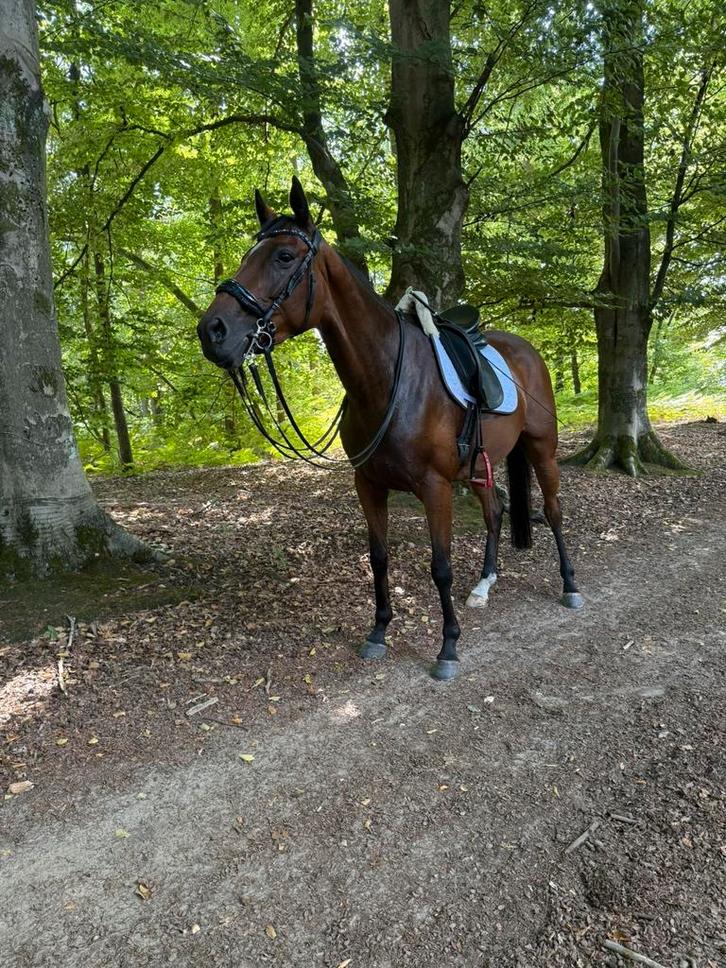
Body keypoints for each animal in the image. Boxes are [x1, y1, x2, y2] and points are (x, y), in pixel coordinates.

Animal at [197, 177, 583, 681]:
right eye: (248, 254)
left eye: (283, 256)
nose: (212, 330)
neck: (386, 382)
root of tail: (525, 350)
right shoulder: (369, 484)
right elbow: (378, 558)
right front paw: (378, 631)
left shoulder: (435, 487)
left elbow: (440, 565)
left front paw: (448, 647)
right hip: (480, 467)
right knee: (495, 514)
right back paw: (483, 586)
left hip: (541, 451)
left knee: (554, 512)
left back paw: (570, 585)